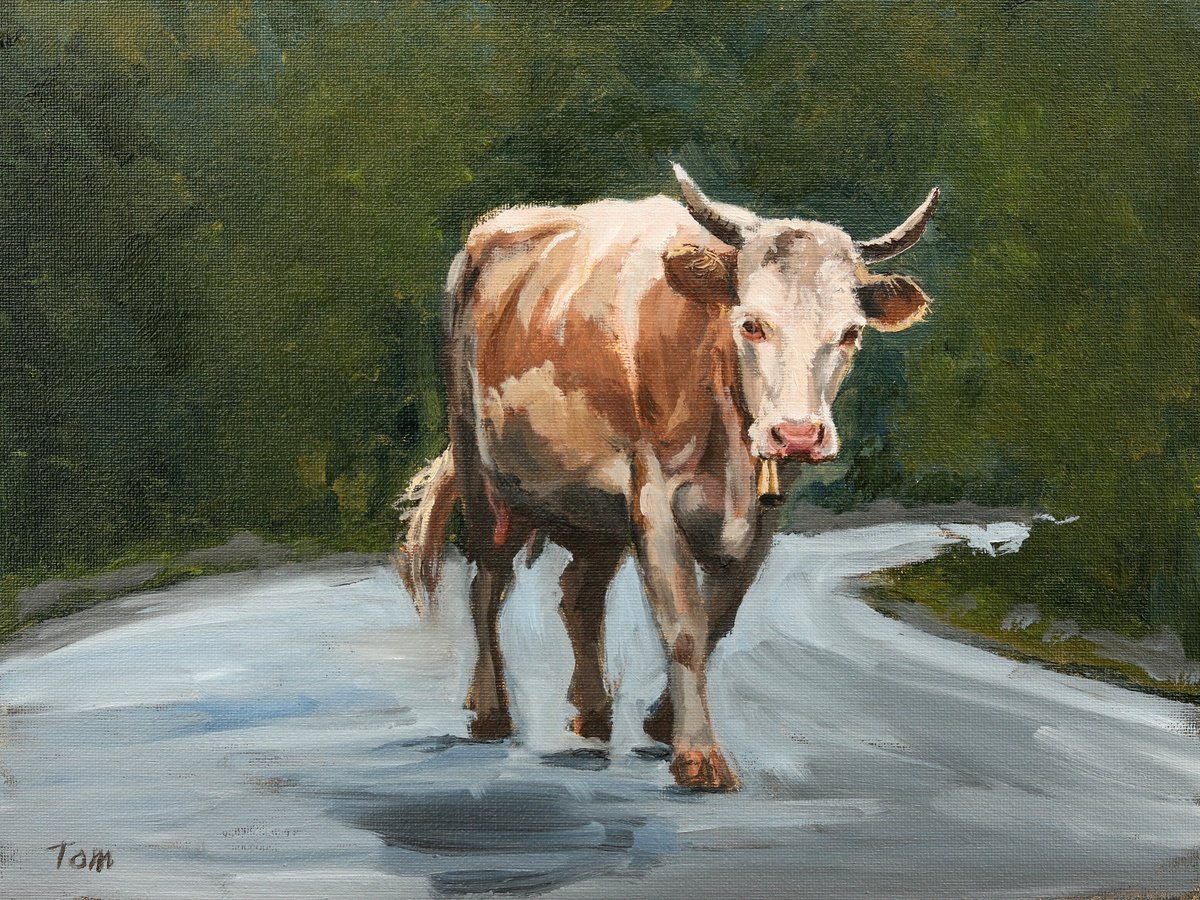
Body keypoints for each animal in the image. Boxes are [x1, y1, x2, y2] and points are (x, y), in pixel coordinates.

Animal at [396, 165, 938, 791]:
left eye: (849, 332)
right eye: (751, 324)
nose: (798, 434)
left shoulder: (763, 514)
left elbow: (719, 618)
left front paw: (661, 724)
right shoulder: (653, 496)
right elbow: (682, 625)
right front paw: (698, 756)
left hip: (594, 509)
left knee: (578, 598)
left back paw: (594, 713)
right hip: (480, 467)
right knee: (487, 585)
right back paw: (490, 711)